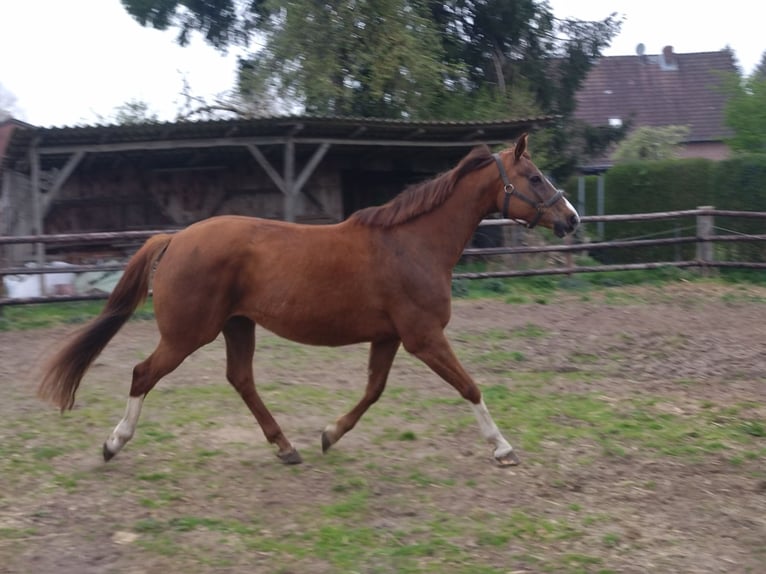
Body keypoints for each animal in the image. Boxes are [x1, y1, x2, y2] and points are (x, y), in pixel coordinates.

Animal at [38, 133, 579, 467]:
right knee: (142, 374)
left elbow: (373, 391)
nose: (572, 218)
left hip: (237, 325)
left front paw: (328, 434)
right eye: (534, 177)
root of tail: (174, 239)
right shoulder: (424, 337)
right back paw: (113, 444)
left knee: (240, 379)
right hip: (188, 334)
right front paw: (503, 448)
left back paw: (286, 446)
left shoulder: (390, 338)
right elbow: (469, 387)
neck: (412, 243)